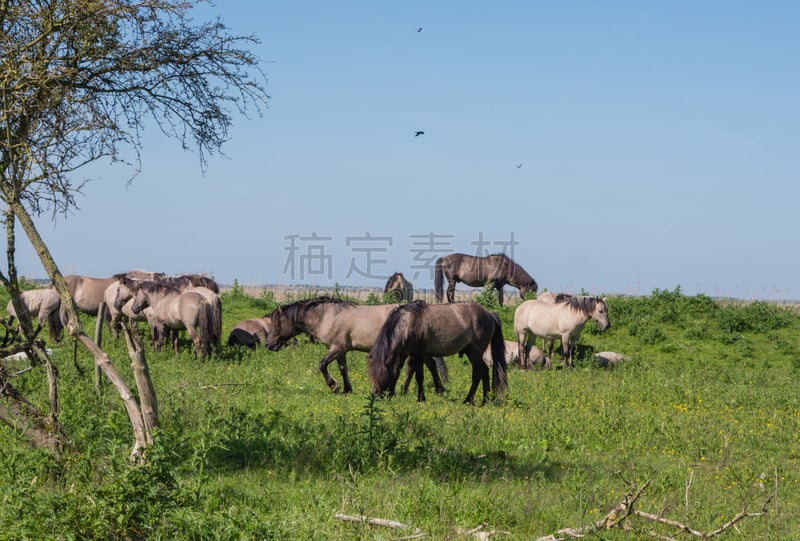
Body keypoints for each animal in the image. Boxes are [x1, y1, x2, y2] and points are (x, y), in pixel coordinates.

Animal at [264, 298, 446, 394]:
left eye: (278, 322)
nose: (268, 344)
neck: (328, 316)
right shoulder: (341, 351)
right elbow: (343, 369)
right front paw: (347, 390)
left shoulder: (336, 348)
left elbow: (322, 365)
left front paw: (334, 386)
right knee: (422, 365)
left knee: (425, 365)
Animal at [368, 302, 506, 402]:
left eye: (381, 374)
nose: (375, 395)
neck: (407, 323)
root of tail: (489, 313)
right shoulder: (402, 354)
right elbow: (396, 372)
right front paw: (391, 395)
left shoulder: (418, 354)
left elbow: (419, 376)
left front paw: (421, 399)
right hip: (470, 352)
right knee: (484, 371)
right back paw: (485, 401)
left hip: (476, 352)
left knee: (477, 374)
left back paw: (468, 400)